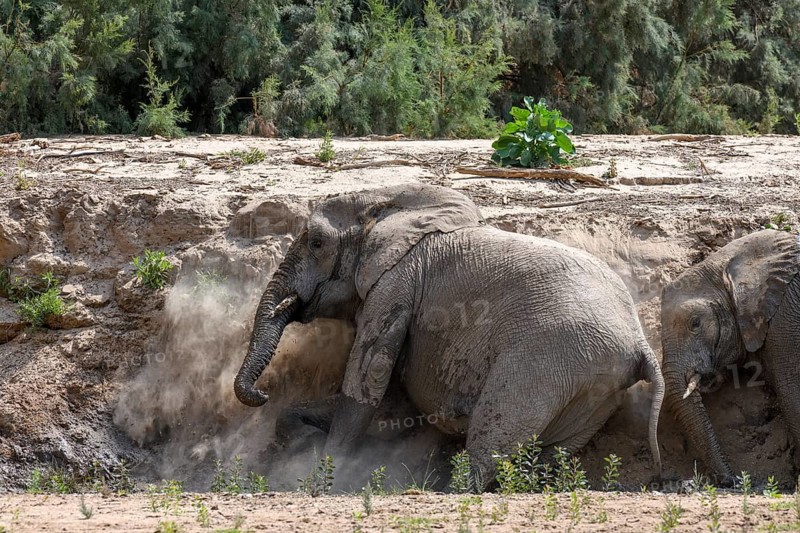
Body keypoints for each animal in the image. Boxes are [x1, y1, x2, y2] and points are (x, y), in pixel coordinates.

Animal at [234, 183, 664, 488]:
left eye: (317, 242)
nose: (263, 393)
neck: (386, 199)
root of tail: (641, 343)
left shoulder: (395, 284)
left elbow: (368, 380)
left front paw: (330, 472)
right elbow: (386, 395)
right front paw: (305, 443)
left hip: (547, 360)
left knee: (489, 444)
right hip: (595, 389)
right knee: (544, 460)